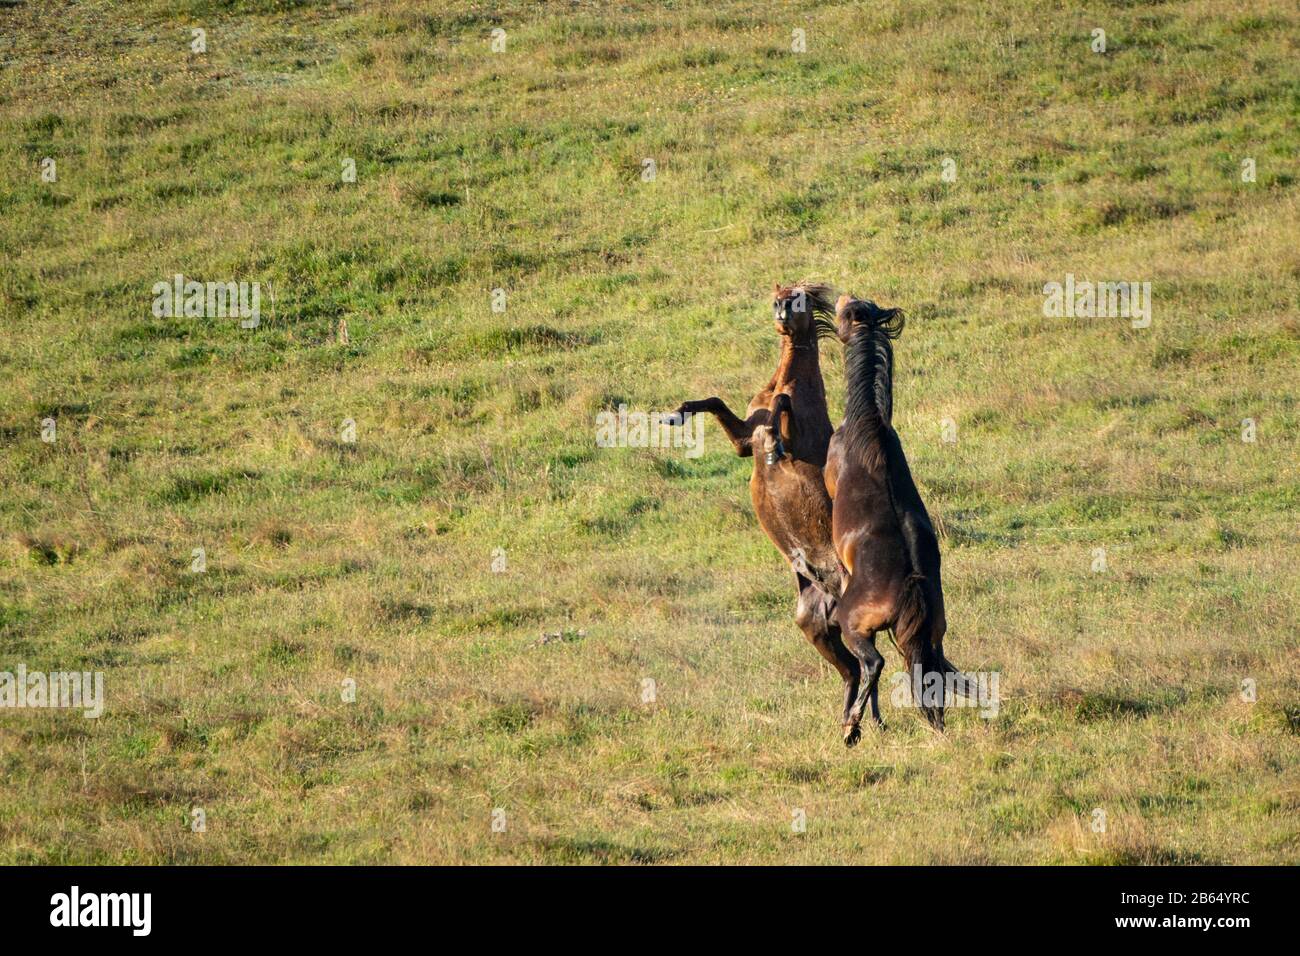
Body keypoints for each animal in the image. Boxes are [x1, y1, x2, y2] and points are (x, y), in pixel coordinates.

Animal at [670, 283, 863, 733]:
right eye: (779, 295)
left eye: (799, 298)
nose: (779, 312)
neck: (787, 379)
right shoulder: (744, 440)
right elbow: (718, 402)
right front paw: (677, 414)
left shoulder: (800, 440)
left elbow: (782, 409)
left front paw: (773, 444)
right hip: (814, 625)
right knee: (852, 670)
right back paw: (853, 723)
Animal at [826, 293, 972, 738]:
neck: (868, 424)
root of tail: (910, 585)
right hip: (932, 635)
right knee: (931, 674)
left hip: (854, 625)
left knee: (873, 662)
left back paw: (852, 726)